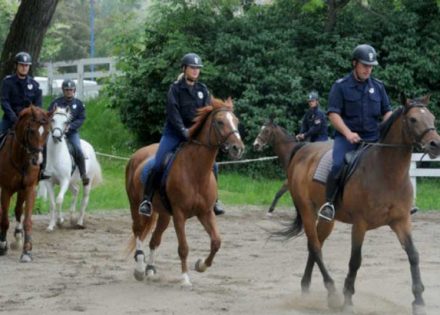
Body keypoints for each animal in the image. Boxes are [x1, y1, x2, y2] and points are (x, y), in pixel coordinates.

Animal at [0, 105, 53, 262]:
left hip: (21, 190)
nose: (37, 160)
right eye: (31, 131)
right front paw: (2, 245)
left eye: (47, 132)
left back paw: (18, 237)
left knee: (18, 210)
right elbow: (4, 219)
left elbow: (27, 220)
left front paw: (27, 251)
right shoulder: (6, 189)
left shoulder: (29, 188)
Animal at [126, 97, 244, 288]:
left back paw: (150, 270)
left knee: (154, 240)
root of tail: (136, 155)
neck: (195, 171)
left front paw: (201, 265)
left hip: (164, 215)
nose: (237, 148)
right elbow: (183, 248)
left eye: (236, 121)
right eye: (220, 122)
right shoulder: (179, 215)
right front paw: (185, 278)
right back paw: (139, 269)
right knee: (138, 231)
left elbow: (216, 242)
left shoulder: (205, 212)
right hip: (135, 205)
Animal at [282, 94, 440, 315]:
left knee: (316, 245)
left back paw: (306, 288)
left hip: (327, 219)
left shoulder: (401, 221)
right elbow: (355, 260)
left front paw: (419, 302)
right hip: (306, 210)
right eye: (413, 119)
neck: (387, 173)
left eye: (432, 117)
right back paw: (332, 293)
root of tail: (302, 150)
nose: (435, 144)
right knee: (315, 246)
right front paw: (348, 299)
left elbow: (414, 255)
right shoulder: (360, 224)